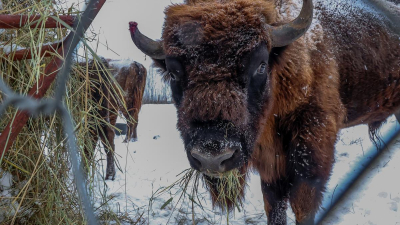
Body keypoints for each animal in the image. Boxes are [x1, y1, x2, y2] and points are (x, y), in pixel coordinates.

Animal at [131, 0, 400, 224]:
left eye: (260, 65)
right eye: (173, 73)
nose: (212, 157)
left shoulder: (312, 145)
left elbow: (302, 204)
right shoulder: (270, 163)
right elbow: (274, 204)